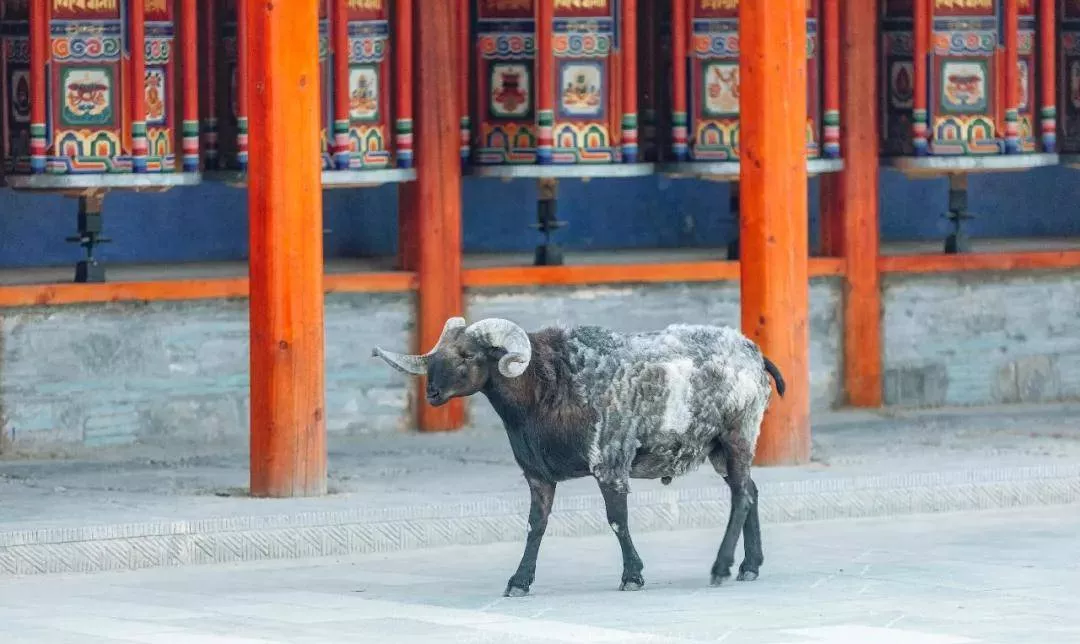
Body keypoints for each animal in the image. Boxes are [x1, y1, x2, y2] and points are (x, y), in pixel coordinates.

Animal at [372, 316, 785, 597]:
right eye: (437, 354)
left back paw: (721, 567)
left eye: (468, 355)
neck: (547, 387)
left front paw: (632, 575)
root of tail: (756, 355)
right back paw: (750, 565)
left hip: (738, 433)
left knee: (741, 497)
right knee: (751, 492)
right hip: (720, 450)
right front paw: (519, 581)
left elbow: (617, 520)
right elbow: (535, 526)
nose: (432, 393)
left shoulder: (609, 461)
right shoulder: (538, 475)